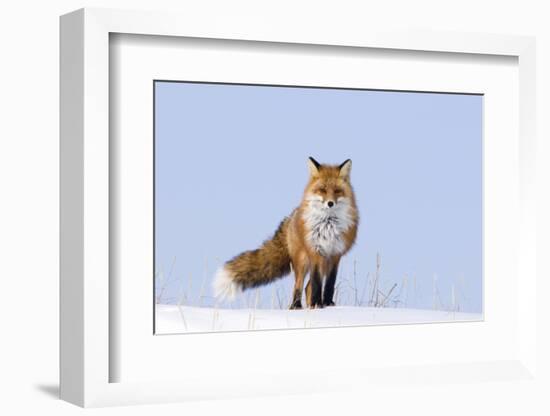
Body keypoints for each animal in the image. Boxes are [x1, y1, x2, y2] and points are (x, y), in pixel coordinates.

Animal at [213, 158, 360, 308]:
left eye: (337, 191)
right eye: (322, 190)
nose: (330, 203)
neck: (328, 225)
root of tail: (291, 217)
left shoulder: (335, 254)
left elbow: (330, 284)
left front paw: (327, 304)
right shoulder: (315, 252)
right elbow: (317, 283)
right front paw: (317, 304)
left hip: (322, 262)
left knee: (307, 287)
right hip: (302, 261)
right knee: (299, 286)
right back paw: (296, 306)